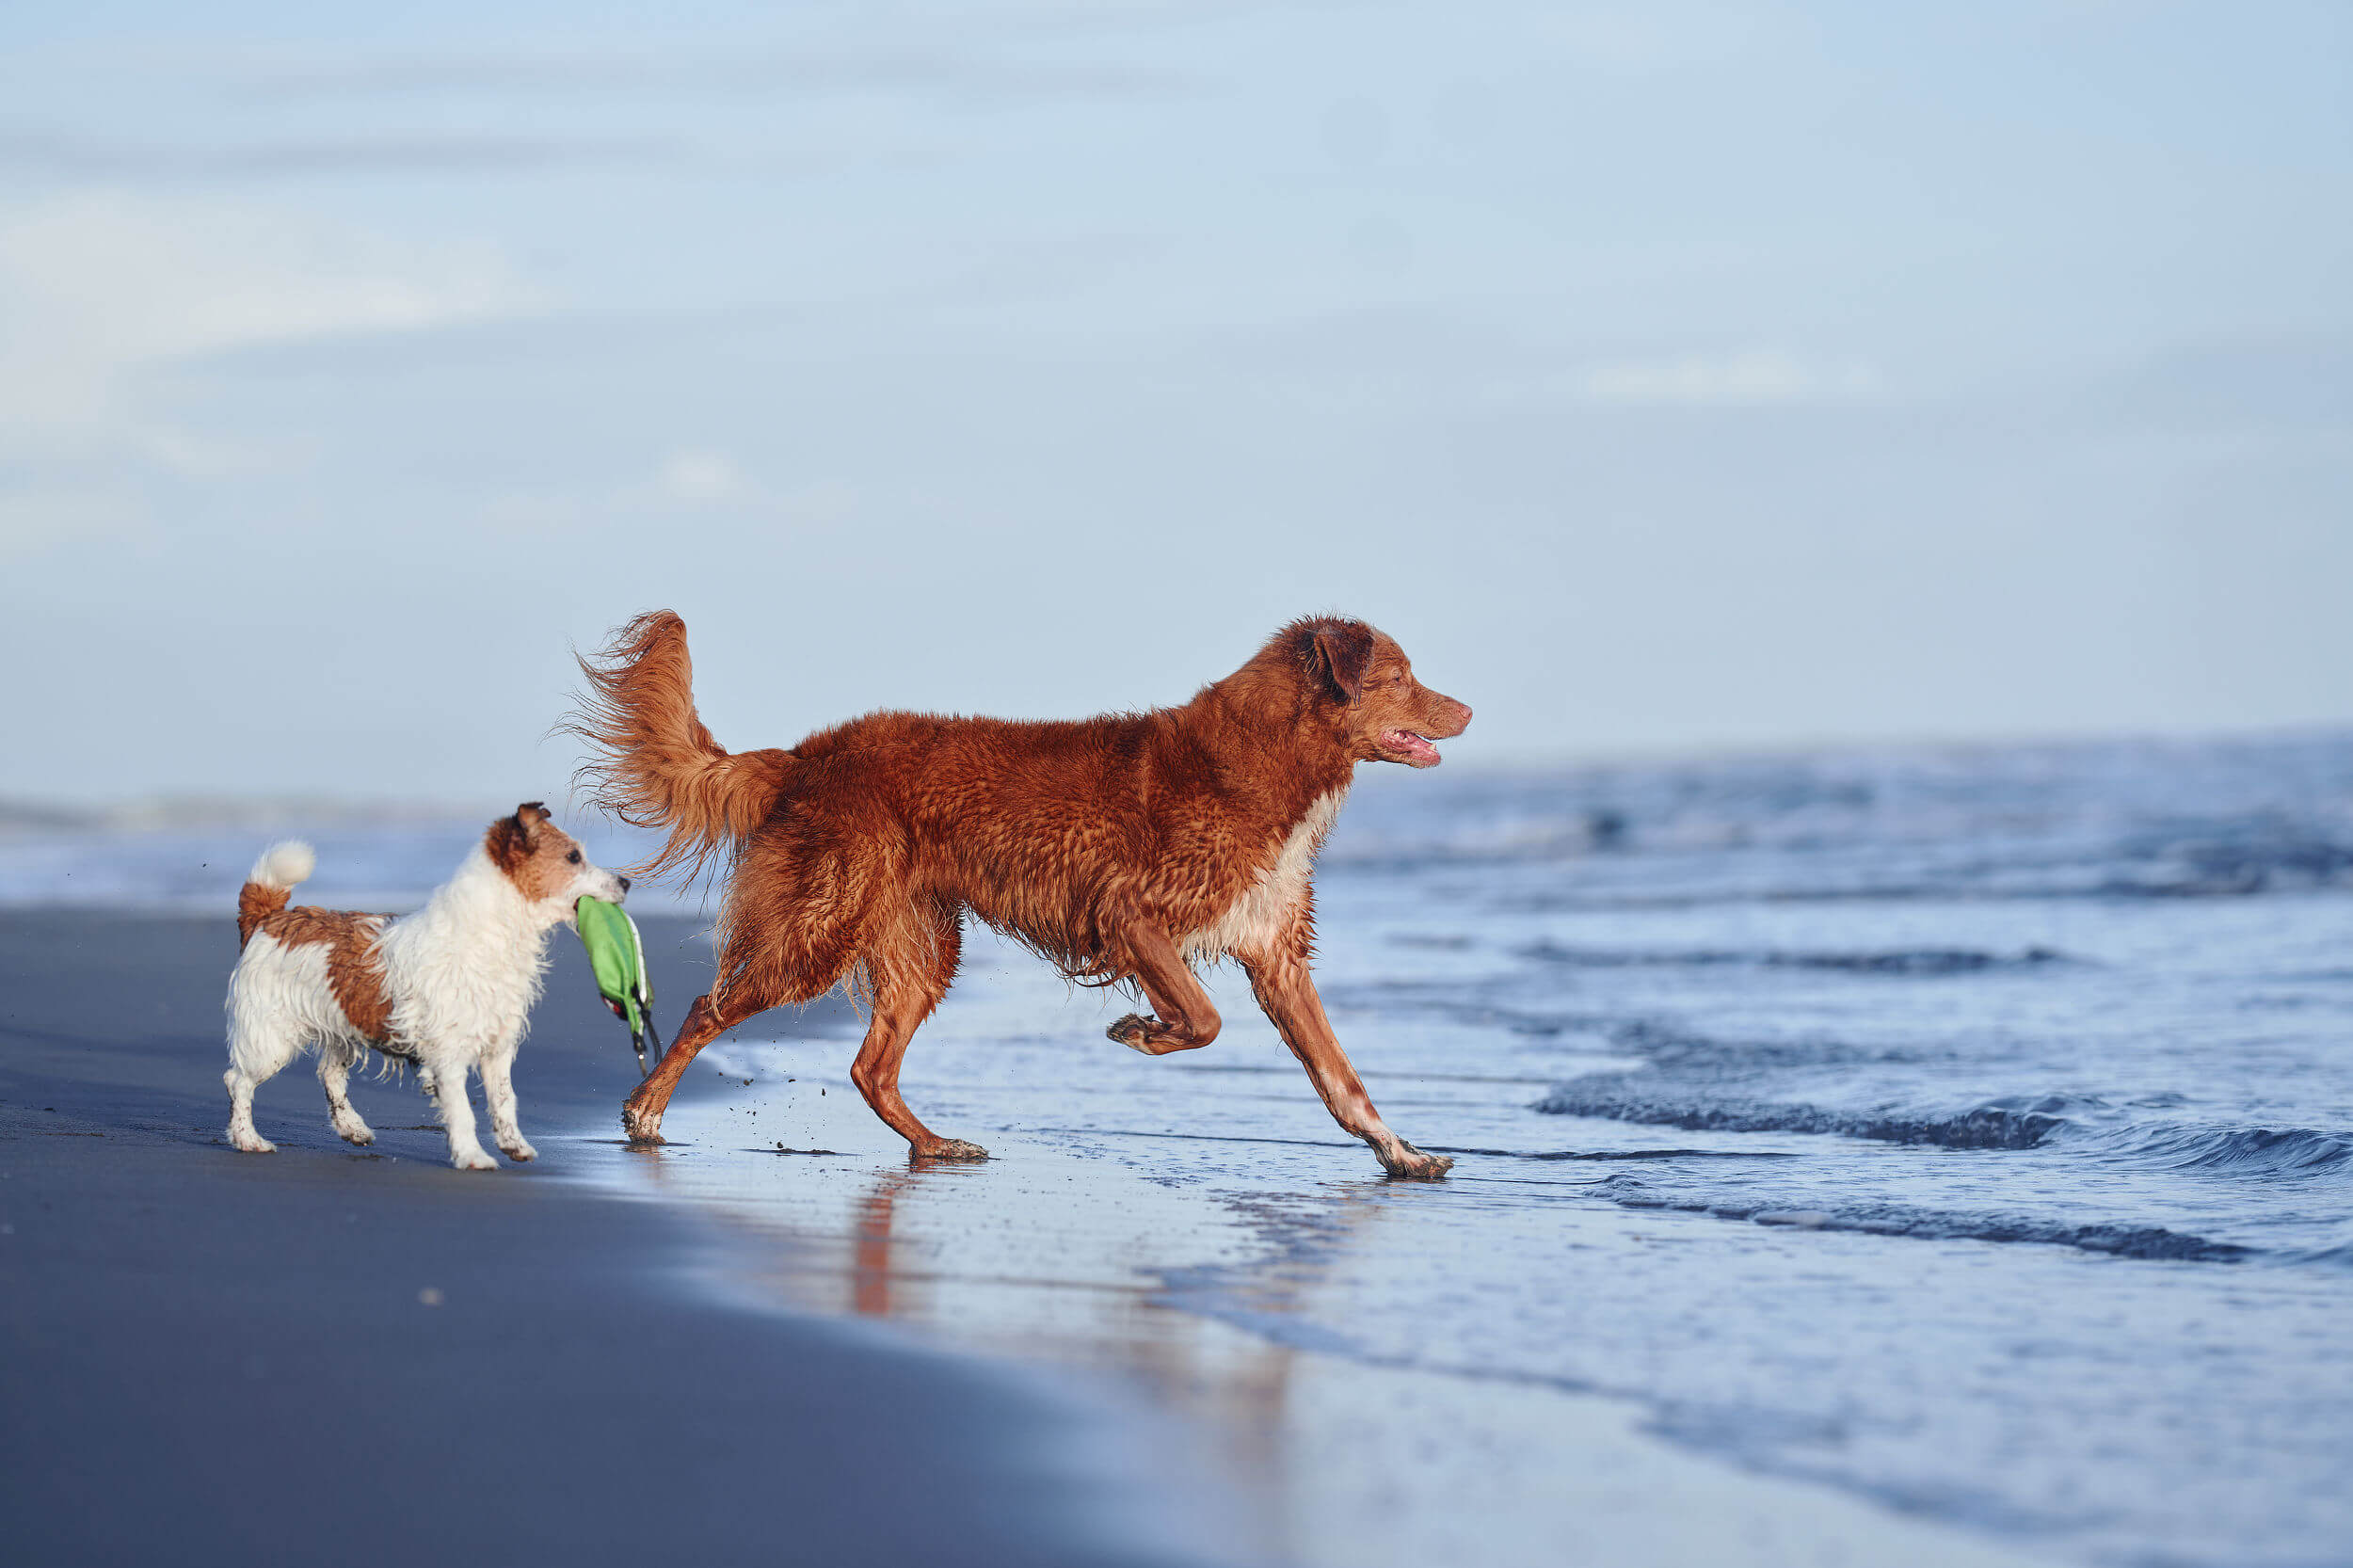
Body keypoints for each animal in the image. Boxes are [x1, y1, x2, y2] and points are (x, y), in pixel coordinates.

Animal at [223, 805, 631, 1158]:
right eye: (573, 857)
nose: (626, 881)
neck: (489, 934)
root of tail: (270, 919)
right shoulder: (448, 1052)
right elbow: (462, 1109)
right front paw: (473, 1157)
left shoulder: (498, 1048)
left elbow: (504, 1100)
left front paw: (514, 1145)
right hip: (270, 1042)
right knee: (237, 1081)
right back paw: (248, 1139)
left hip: (343, 1026)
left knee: (330, 1076)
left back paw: (352, 1128)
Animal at [565, 612, 1468, 1172]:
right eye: (1399, 675)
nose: (1464, 709)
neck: (1262, 764)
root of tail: (803, 756)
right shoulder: (1131, 914)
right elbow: (1203, 1017)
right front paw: (1144, 1030)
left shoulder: (1275, 955)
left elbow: (1342, 1079)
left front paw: (1401, 1153)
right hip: (822, 926)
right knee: (708, 1007)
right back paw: (646, 1112)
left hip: (921, 944)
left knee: (868, 1067)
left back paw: (933, 1146)